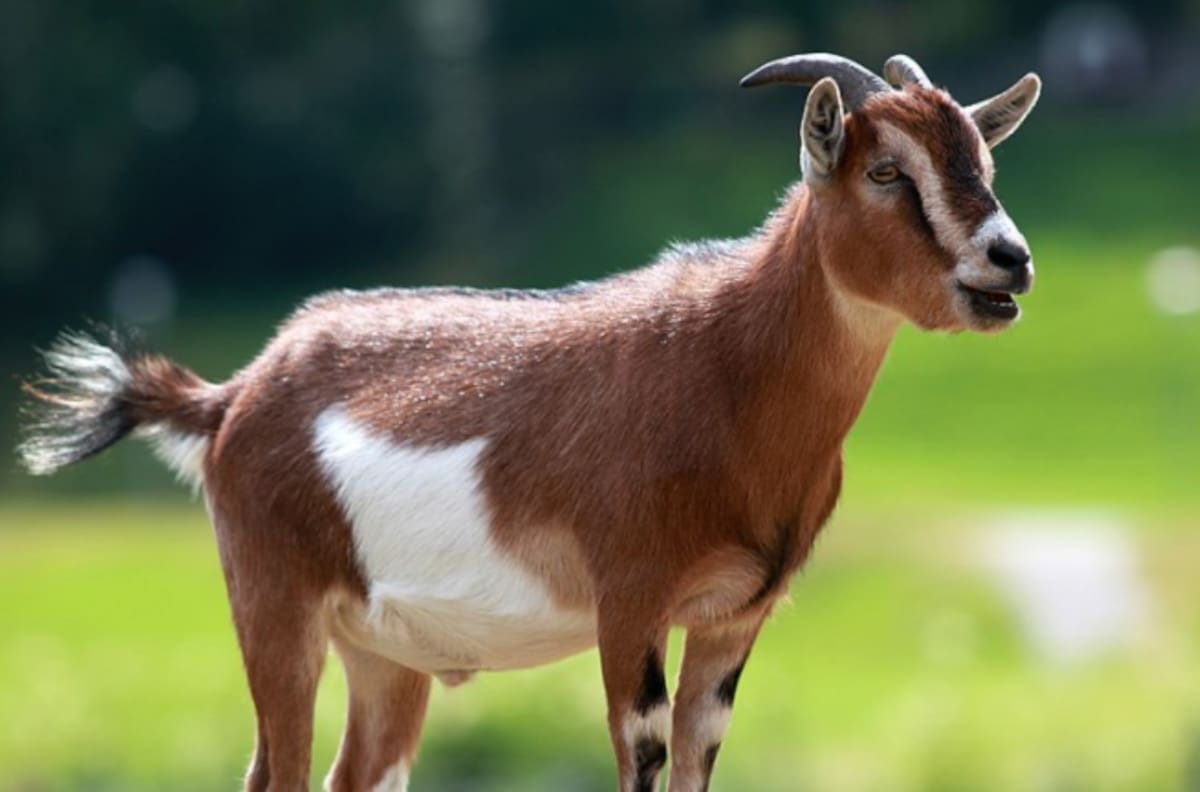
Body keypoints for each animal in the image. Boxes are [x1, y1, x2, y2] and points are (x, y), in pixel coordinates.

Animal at [18, 52, 1040, 792]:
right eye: (886, 171)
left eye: (983, 165)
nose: (1011, 260)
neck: (726, 370)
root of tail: (232, 396)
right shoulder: (630, 601)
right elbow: (641, 755)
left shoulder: (734, 617)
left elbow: (698, 760)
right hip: (274, 602)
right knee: (276, 773)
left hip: (380, 652)